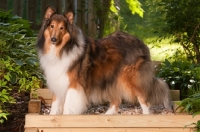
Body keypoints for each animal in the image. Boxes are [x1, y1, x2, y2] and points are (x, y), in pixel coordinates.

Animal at [36, 5, 171, 114]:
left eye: (62, 28)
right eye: (52, 26)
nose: (53, 39)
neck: (62, 49)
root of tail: (140, 42)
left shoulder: (73, 84)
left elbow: (68, 108)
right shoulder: (58, 81)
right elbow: (54, 106)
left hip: (132, 79)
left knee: (144, 101)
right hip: (114, 78)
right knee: (117, 100)